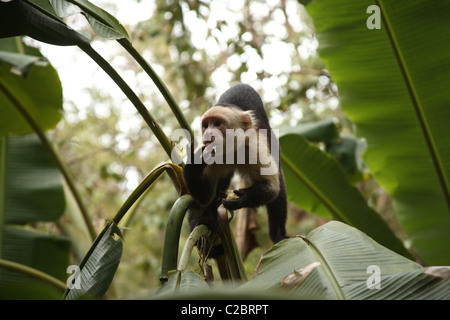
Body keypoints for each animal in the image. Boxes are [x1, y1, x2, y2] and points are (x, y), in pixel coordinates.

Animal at [183, 84, 288, 258]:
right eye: (206, 125)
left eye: (217, 123)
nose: (208, 134)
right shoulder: (211, 154)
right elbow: (205, 196)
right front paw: (194, 160)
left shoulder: (253, 145)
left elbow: (272, 188)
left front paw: (243, 198)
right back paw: (206, 224)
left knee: (278, 186)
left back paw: (278, 235)